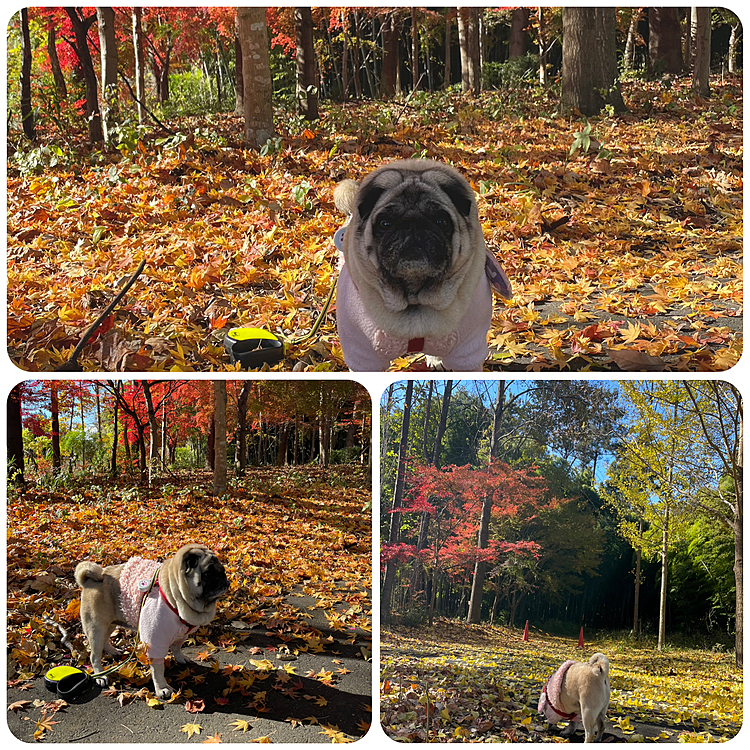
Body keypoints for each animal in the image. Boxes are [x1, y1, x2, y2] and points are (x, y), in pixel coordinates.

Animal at [76, 548, 231, 700]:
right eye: (208, 573)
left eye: (221, 569)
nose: (223, 575)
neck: (176, 594)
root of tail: (93, 578)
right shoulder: (155, 640)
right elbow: (158, 669)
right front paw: (162, 688)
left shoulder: (182, 634)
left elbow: (177, 647)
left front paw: (180, 658)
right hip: (97, 628)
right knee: (95, 654)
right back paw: (101, 676)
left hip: (110, 623)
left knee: (106, 640)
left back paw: (113, 650)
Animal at [336, 160, 516, 372]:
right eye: (384, 223)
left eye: (441, 221)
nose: (413, 224)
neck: (415, 300)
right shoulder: (363, 357)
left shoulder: (467, 353)